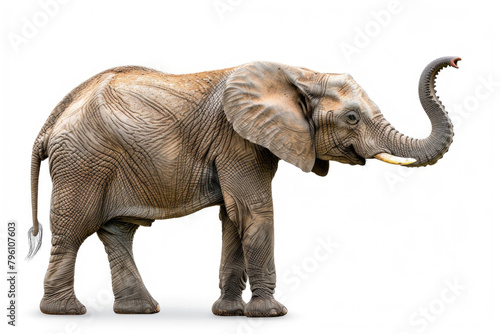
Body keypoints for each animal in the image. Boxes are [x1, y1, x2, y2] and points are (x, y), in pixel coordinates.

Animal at [27, 56, 460, 318]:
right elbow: (254, 211)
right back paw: (66, 312)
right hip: (83, 161)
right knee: (73, 230)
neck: (297, 73)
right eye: (352, 118)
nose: (455, 61)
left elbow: (232, 217)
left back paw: (140, 310)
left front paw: (229, 313)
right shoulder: (238, 140)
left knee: (117, 232)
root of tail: (51, 122)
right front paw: (271, 314)